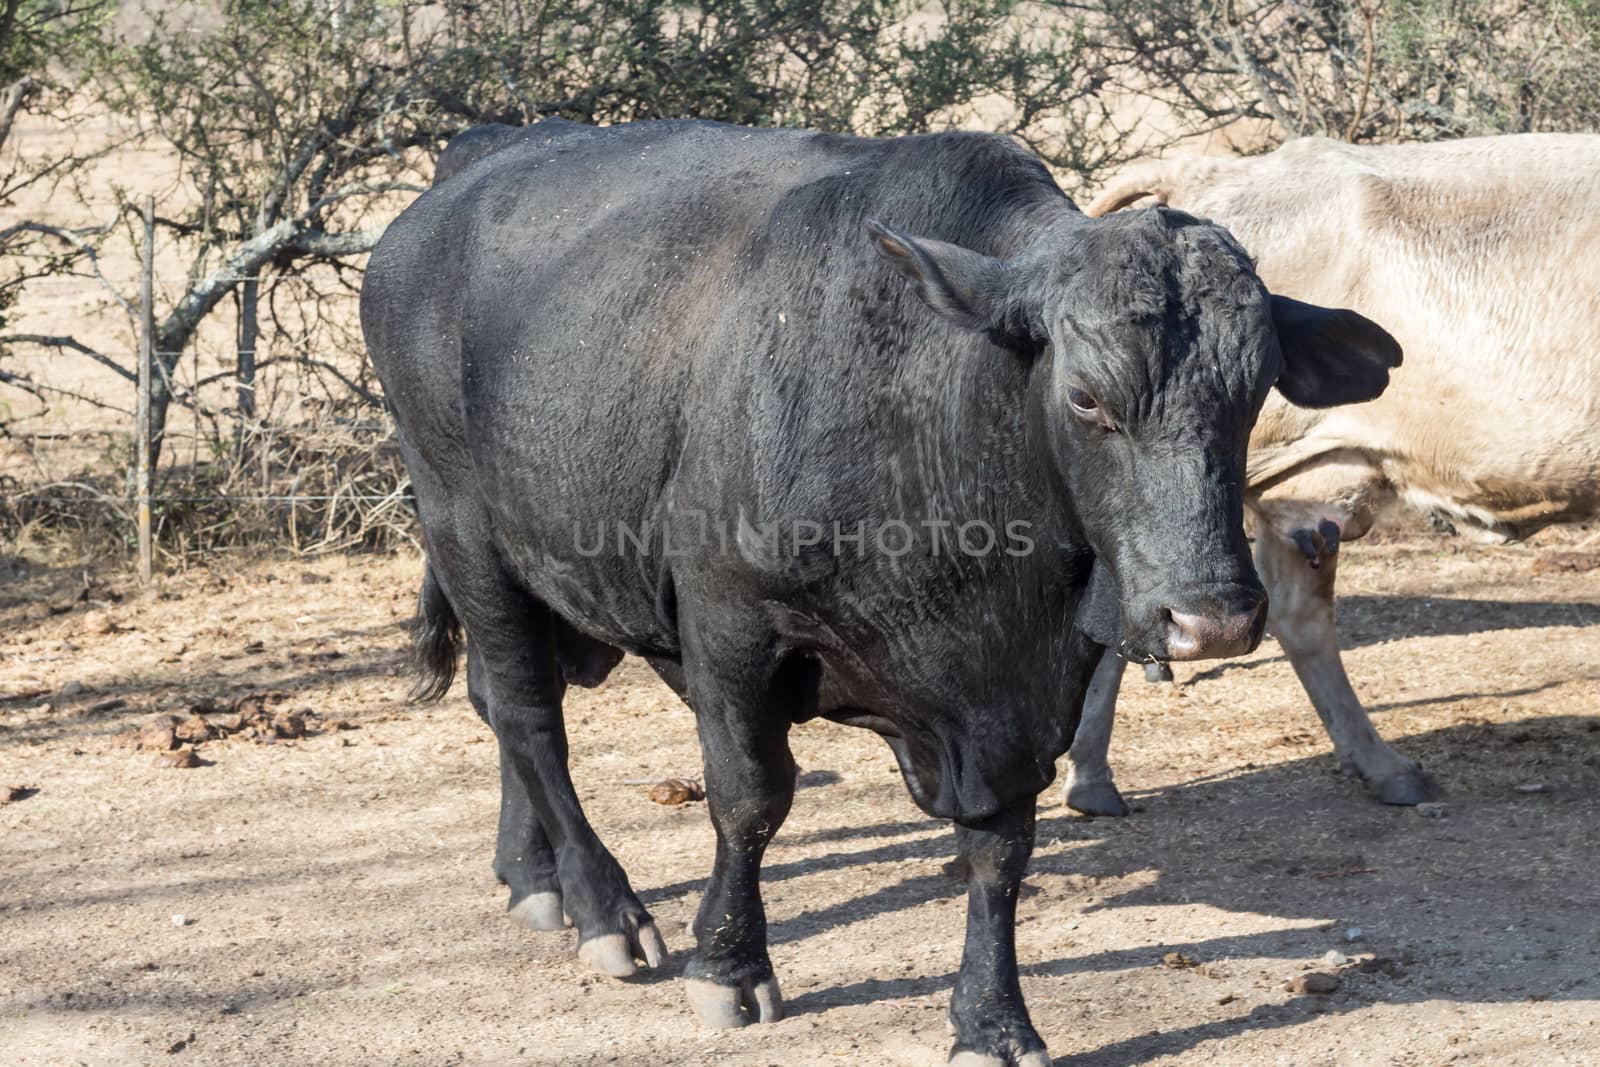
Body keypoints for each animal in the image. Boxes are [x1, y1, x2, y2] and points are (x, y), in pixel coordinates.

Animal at [363, 120, 1401, 1062]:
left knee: (498, 702)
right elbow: (749, 797)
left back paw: (529, 875)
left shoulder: (1017, 695)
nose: (1211, 617)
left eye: (1257, 390)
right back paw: (602, 905)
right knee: (529, 714)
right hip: (465, 530)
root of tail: (475, 163)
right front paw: (730, 965)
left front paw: (992, 1019)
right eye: (1087, 398)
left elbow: (1001, 845)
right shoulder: (729, 622)